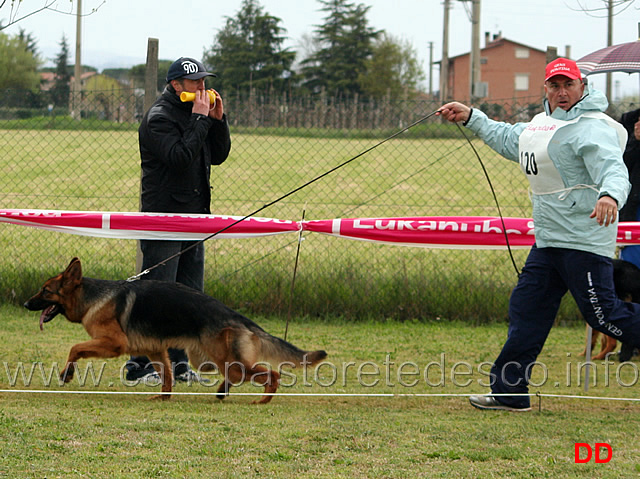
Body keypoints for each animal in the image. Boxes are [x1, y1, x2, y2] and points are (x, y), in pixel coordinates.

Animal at [23, 256, 328, 404]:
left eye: (45, 291)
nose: (25, 304)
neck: (91, 297)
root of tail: (236, 316)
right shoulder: (155, 350)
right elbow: (167, 377)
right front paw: (163, 397)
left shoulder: (113, 343)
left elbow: (75, 348)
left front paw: (66, 374)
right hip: (208, 360)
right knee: (237, 375)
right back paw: (222, 393)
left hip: (221, 359)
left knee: (270, 373)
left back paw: (263, 400)